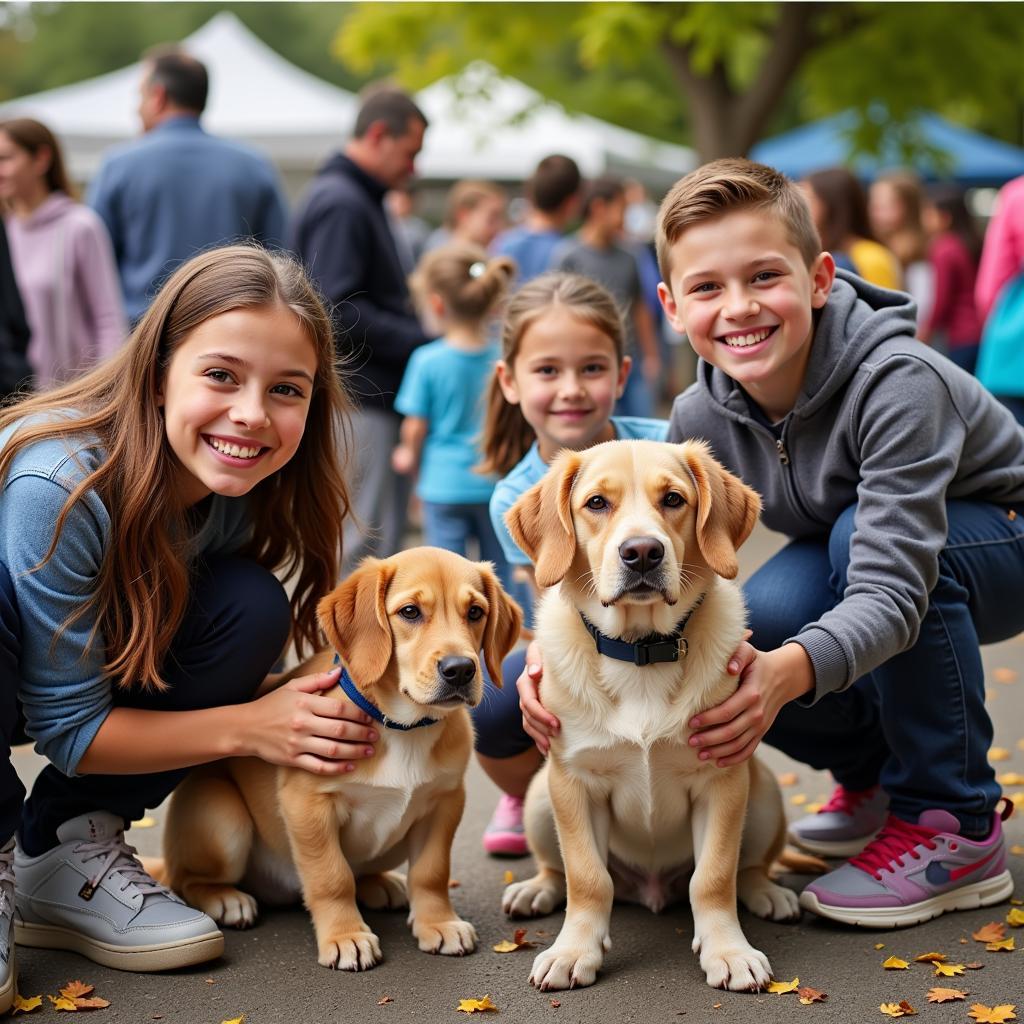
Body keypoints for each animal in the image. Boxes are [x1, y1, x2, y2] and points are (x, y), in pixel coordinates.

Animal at [165, 548, 528, 970]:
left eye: (475, 612)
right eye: (410, 612)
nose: (461, 670)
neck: (401, 726)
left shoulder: (445, 802)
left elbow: (431, 871)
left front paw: (439, 923)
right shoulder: (308, 803)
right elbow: (332, 877)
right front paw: (345, 936)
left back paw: (382, 884)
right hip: (222, 815)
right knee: (185, 878)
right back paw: (226, 898)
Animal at [503, 438, 798, 991]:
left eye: (674, 499)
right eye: (597, 503)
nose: (642, 552)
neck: (641, 652)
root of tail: (652, 889)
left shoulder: (721, 777)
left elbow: (714, 876)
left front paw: (728, 951)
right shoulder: (574, 782)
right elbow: (587, 878)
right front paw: (573, 951)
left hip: (764, 791)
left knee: (746, 869)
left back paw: (767, 892)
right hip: (539, 797)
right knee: (563, 871)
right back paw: (536, 889)